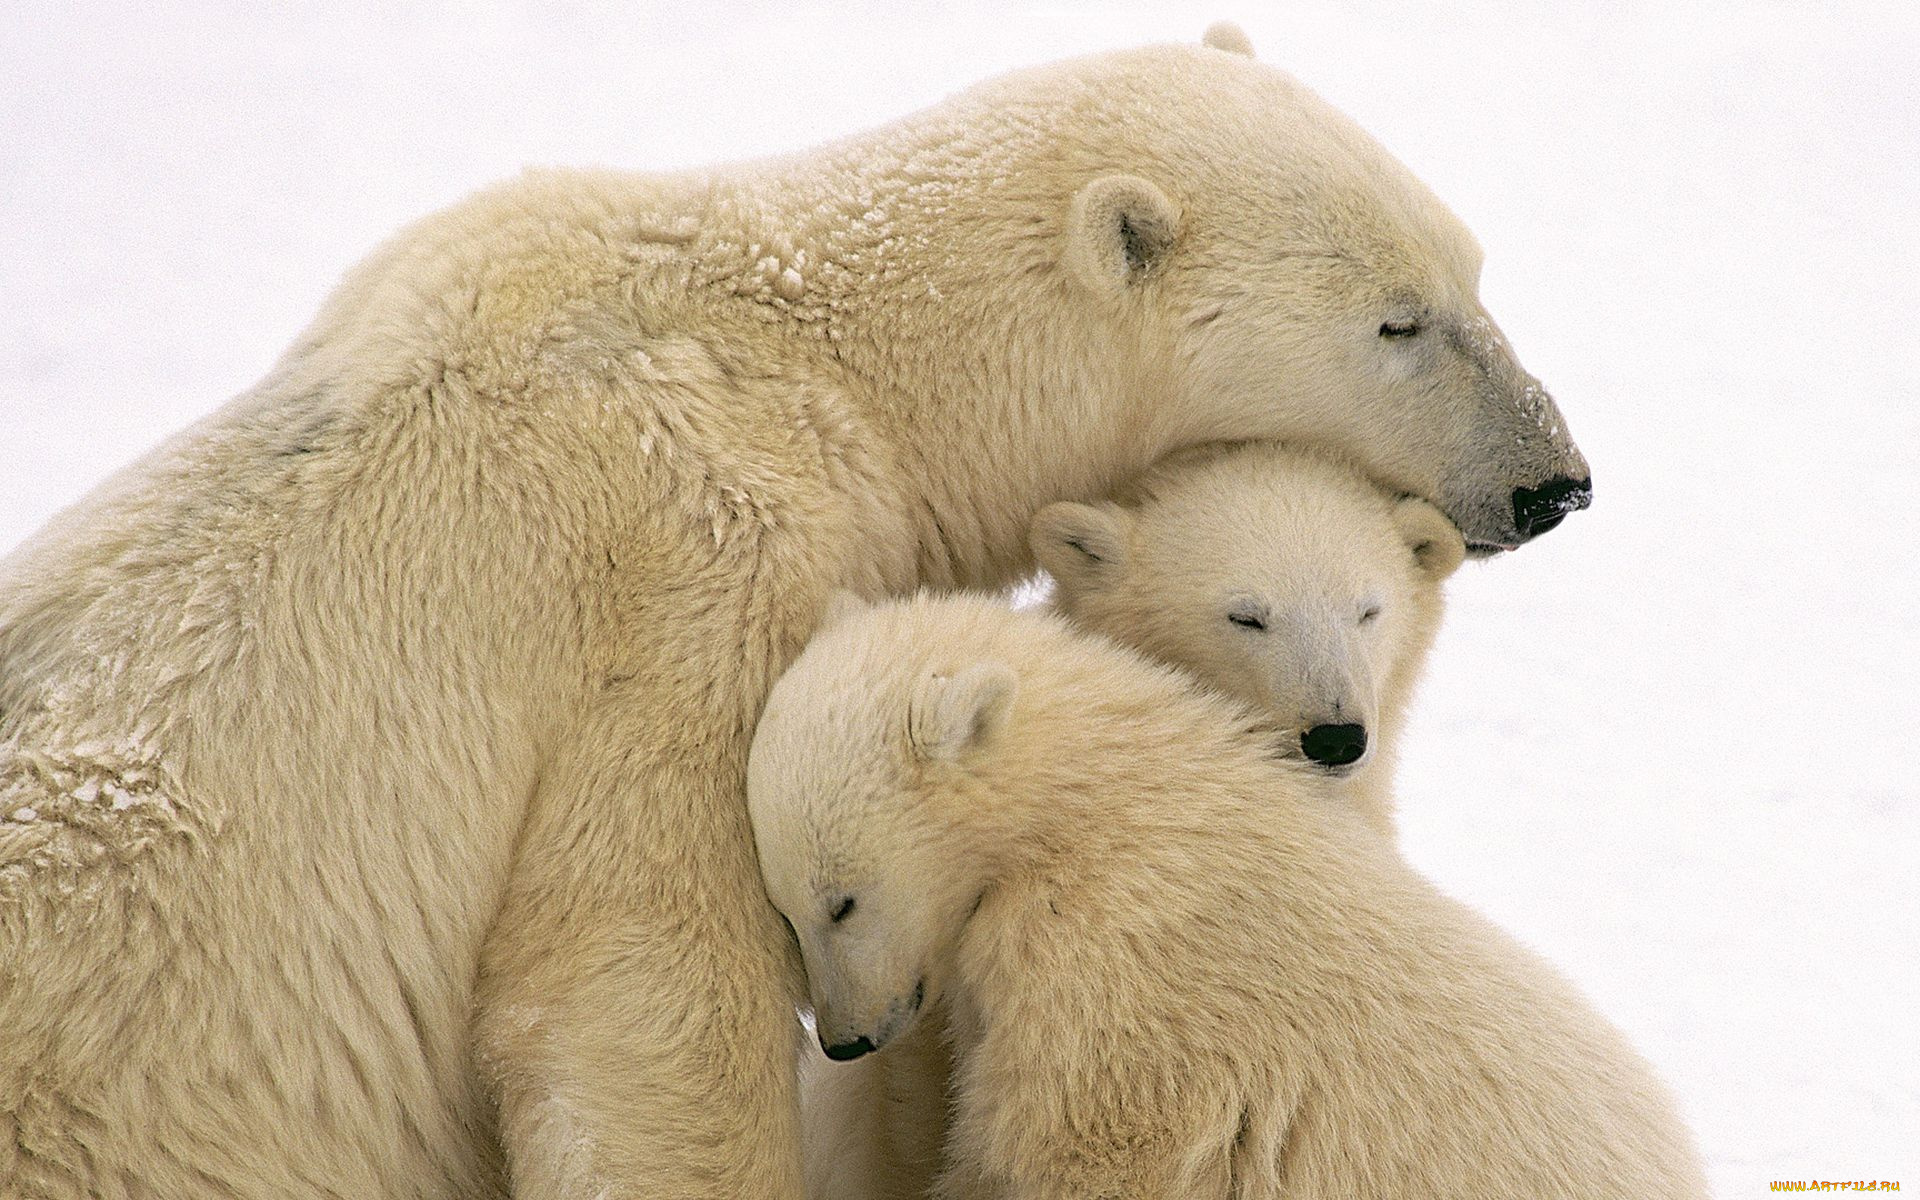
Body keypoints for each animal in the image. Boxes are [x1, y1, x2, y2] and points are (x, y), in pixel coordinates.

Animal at [3, 21, 1589, 1198]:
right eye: (1398, 321)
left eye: (1473, 270)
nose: (1557, 480)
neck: (808, 346)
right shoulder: (687, 571)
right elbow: (638, 989)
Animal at [756, 595, 1704, 1198]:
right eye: (784, 911)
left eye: (841, 902)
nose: (843, 1040)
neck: (1090, 809)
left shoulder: (1117, 977)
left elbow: (1077, 1150)